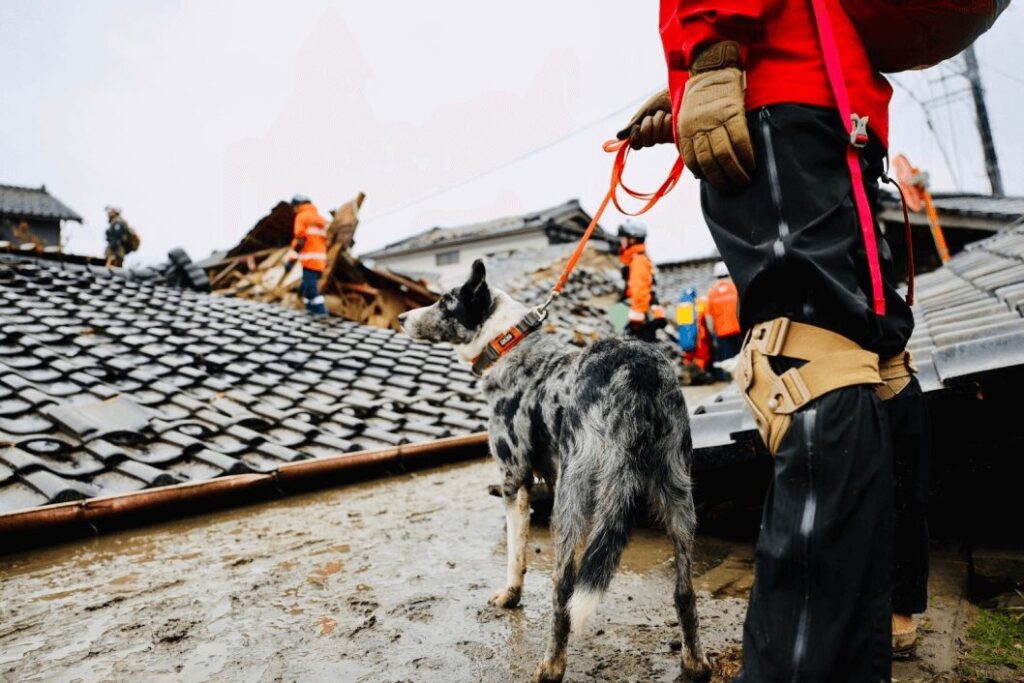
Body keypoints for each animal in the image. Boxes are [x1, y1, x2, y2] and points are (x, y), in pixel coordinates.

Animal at [395, 262, 708, 683]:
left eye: (445, 302)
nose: (401, 318)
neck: (507, 343)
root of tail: (634, 369)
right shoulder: (552, 478)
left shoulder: (515, 482)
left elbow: (517, 555)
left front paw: (510, 596)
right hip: (678, 498)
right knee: (683, 591)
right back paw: (695, 663)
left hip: (571, 500)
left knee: (562, 590)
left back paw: (550, 666)